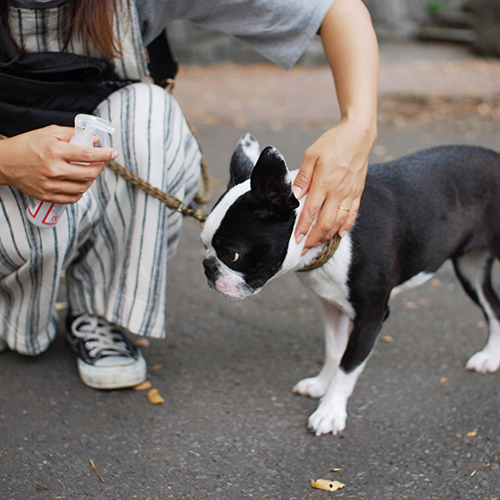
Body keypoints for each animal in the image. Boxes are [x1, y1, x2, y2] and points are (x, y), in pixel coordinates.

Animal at [200, 135, 500, 436]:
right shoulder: (332, 305)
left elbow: (348, 366)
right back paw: (489, 357)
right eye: (204, 245)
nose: (207, 267)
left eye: (232, 254)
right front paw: (321, 385)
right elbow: (335, 351)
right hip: (471, 269)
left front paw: (330, 411)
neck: (328, 230)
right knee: (494, 308)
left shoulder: (371, 317)